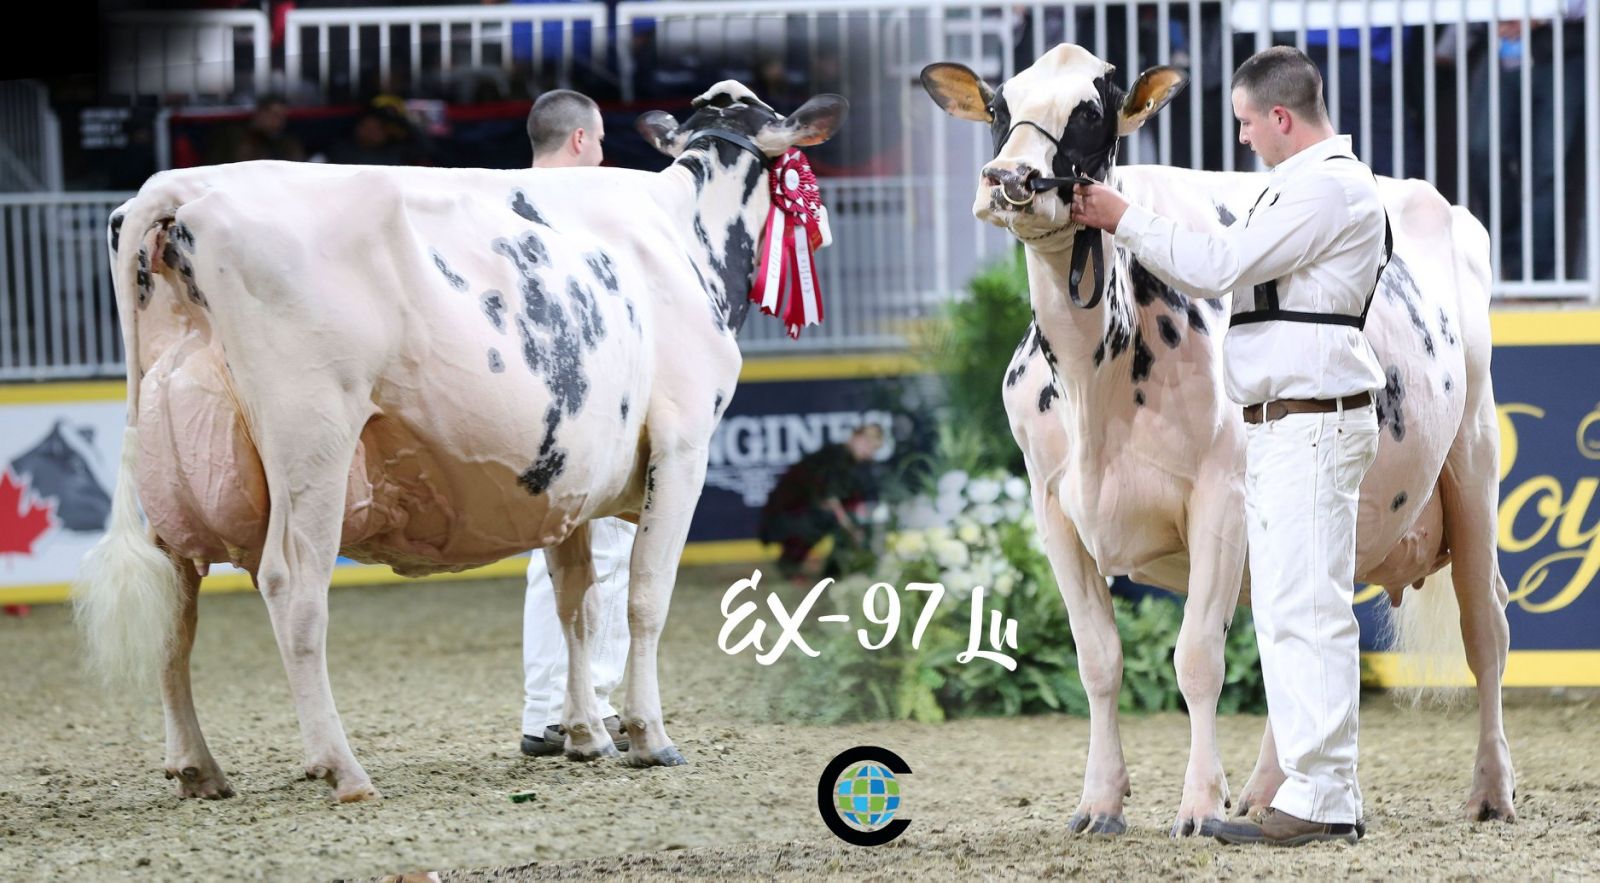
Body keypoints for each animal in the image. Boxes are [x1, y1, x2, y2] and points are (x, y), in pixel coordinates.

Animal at [74, 81, 847, 803]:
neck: (684, 236)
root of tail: (185, 186)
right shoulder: (683, 444)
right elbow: (644, 599)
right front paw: (647, 736)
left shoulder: (567, 476)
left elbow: (577, 605)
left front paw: (585, 735)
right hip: (312, 437)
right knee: (294, 588)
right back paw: (342, 767)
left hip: (174, 462)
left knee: (175, 600)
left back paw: (197, 766)